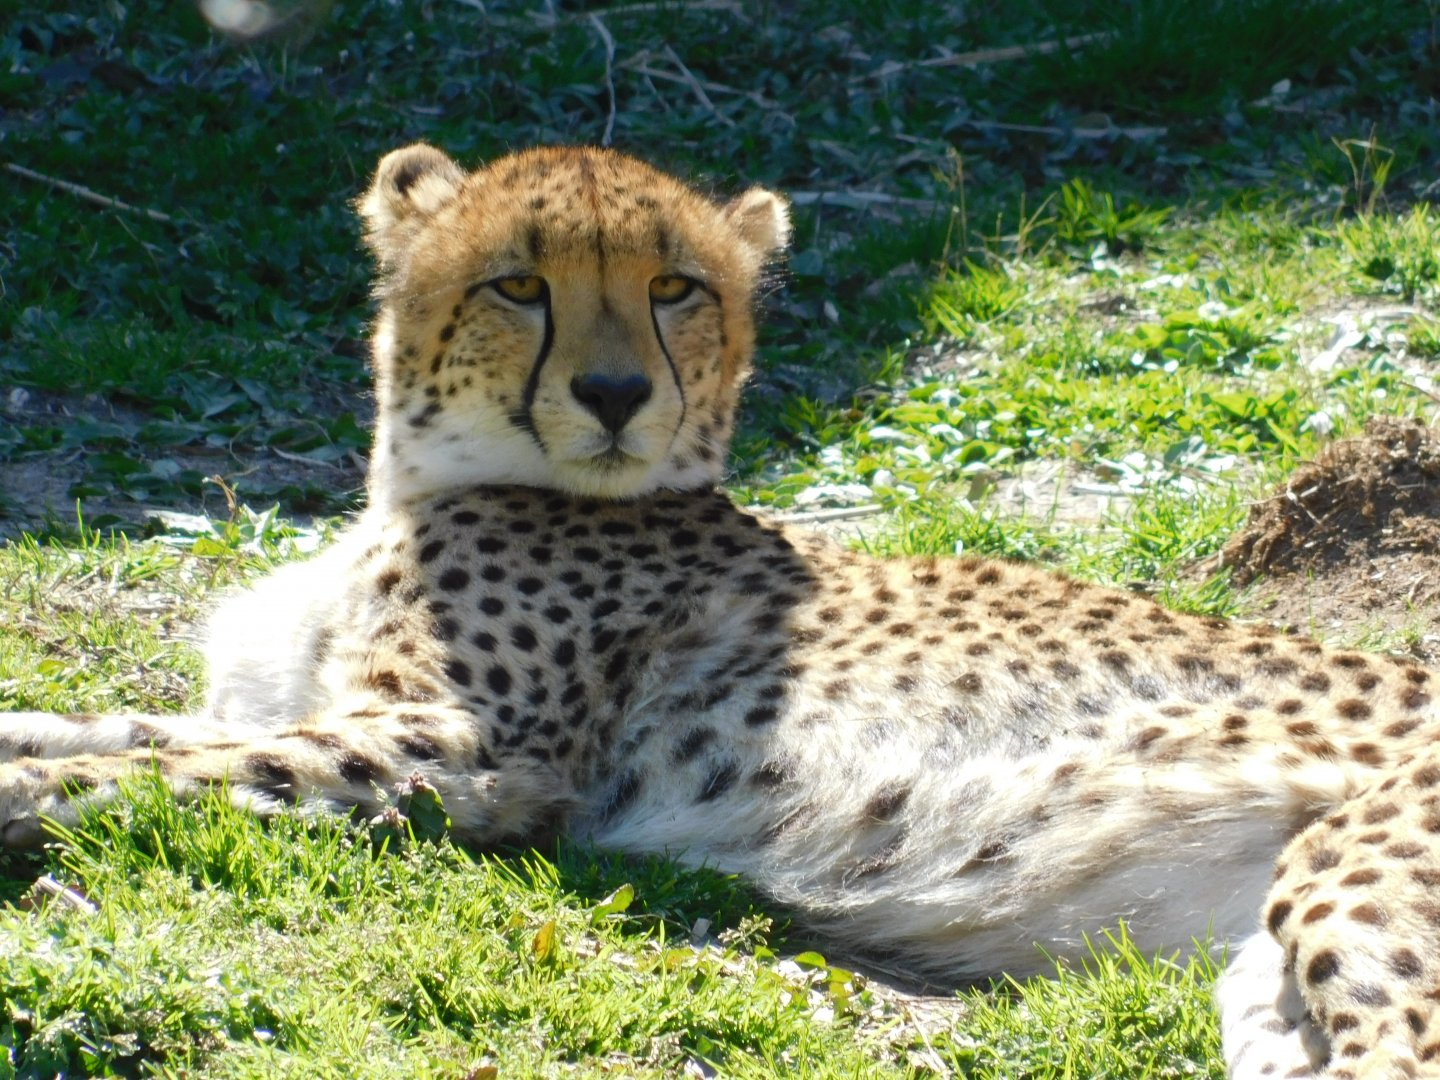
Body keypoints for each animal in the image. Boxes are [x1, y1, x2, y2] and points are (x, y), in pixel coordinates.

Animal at [5, 143, 1440, 1079]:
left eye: (675, 288)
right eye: (518, 282)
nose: (613, 392)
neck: (412, 480)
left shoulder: (468, 752)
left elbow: (171, 771)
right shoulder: (325, 708)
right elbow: (121, 733)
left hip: (1357, 885)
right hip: (1262, 969)